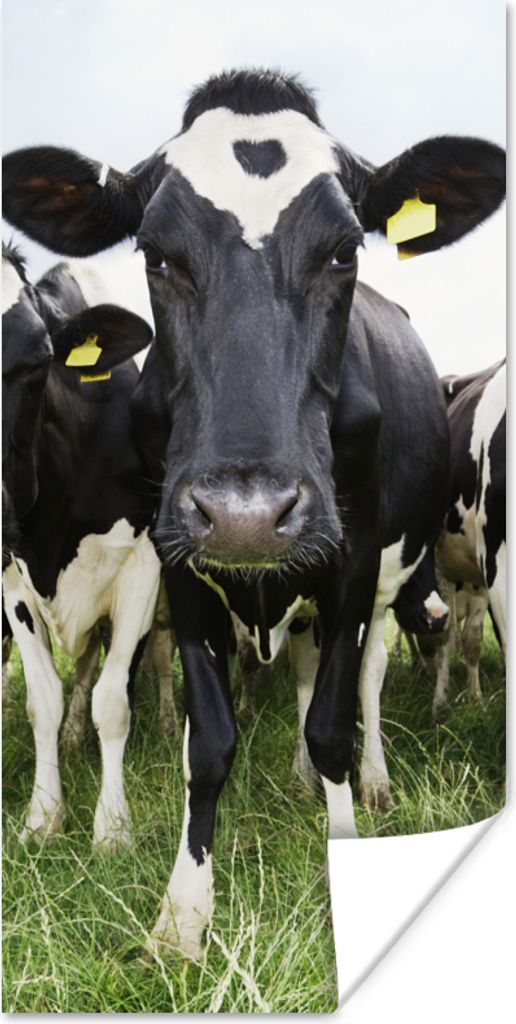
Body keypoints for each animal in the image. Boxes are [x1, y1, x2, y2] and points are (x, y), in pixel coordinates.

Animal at [2, 241, 161, 848]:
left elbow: (113, 701)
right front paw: (43, 816)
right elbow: (43, 700)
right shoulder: (13, 578)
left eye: (35, 361)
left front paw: (112, 827)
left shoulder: (144, 565)